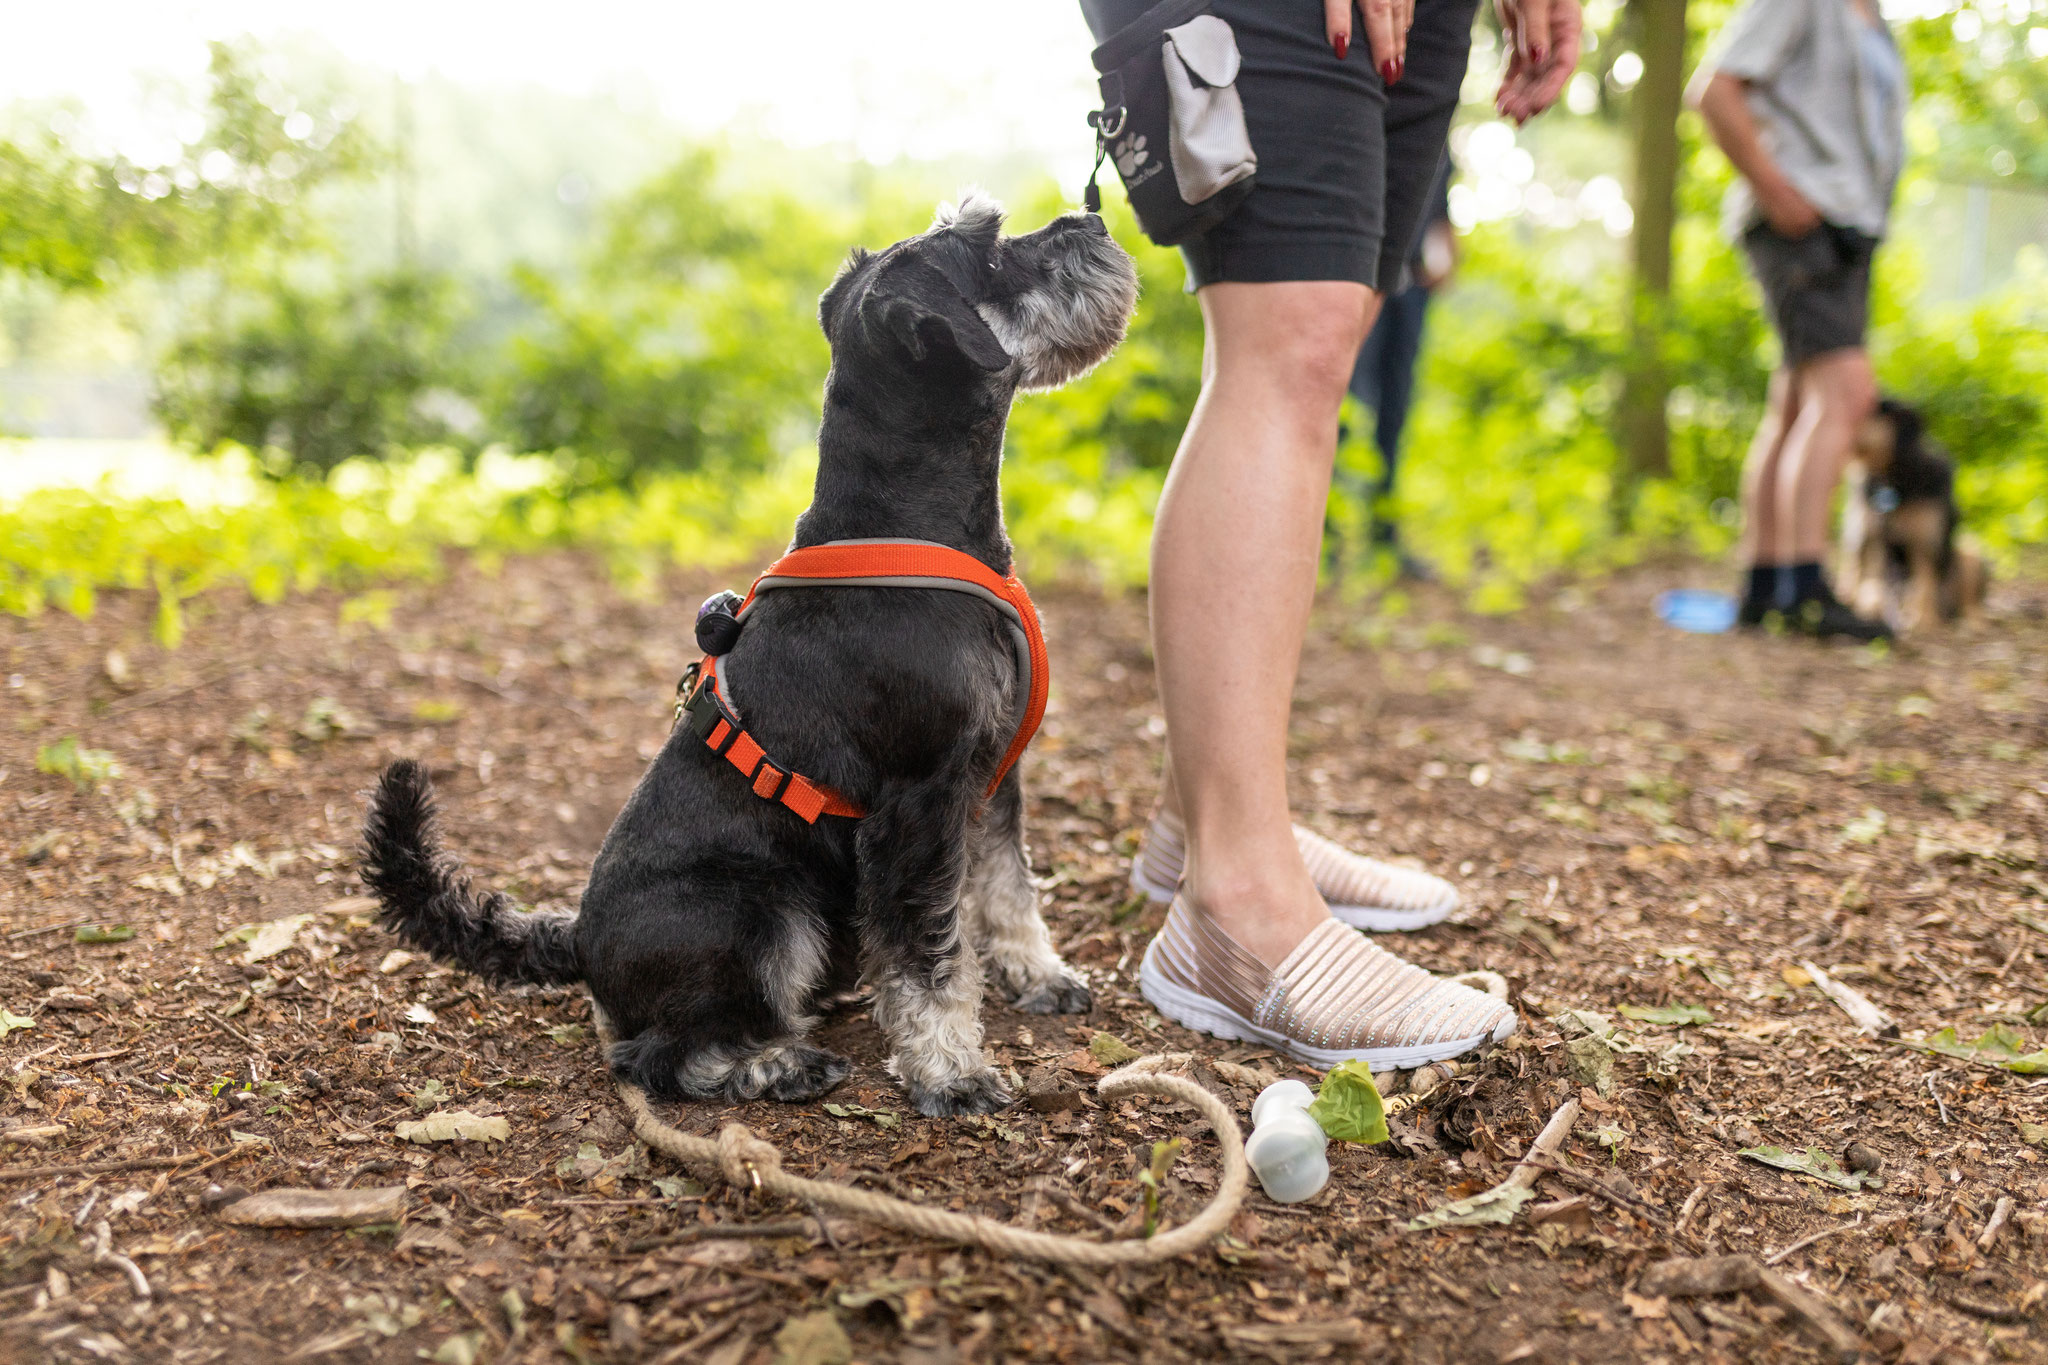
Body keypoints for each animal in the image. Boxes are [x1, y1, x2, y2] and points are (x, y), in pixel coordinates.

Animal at [364, 197, 1138, 1113]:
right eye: (989, 249)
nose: (1092, 219)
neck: (907, 520)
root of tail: (580, 941)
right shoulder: (918, 804)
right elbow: (928, 954)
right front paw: (950, 1070)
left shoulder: (992, 777)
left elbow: (1005, 886)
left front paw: (1038, 973)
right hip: (763, 911)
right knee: (659, 1053)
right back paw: (775, 1063)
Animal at [1843, 394, 1982, 630]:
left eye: (1866, 410)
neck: (1894, 479)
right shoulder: (1870, 536)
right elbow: (1868, 578)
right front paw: (1869, 612)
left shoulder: (1925, 541)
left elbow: (1925, 587)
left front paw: (1925, 622)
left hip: (1969, 554)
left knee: (1967, 604)